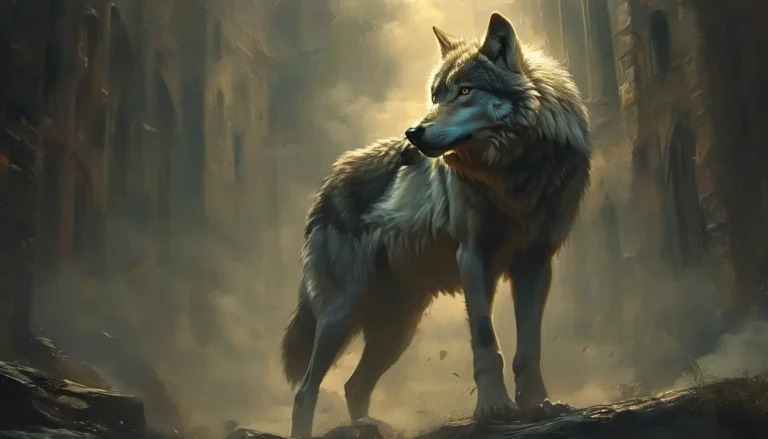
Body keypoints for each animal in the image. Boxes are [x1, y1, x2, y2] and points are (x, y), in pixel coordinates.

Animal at [281, 12, 591, 437]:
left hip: (396, 326)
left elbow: (529, 350)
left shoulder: (535, 262)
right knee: (305, 391)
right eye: (435, 95)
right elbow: (486, 344)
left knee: (353, 385)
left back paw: (369, 425)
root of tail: (327, 185)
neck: (512, 174)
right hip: (341, 312)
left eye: (464, 91)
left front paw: (537, 405)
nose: (412, 135)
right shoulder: (473, 257)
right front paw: (494, 409)